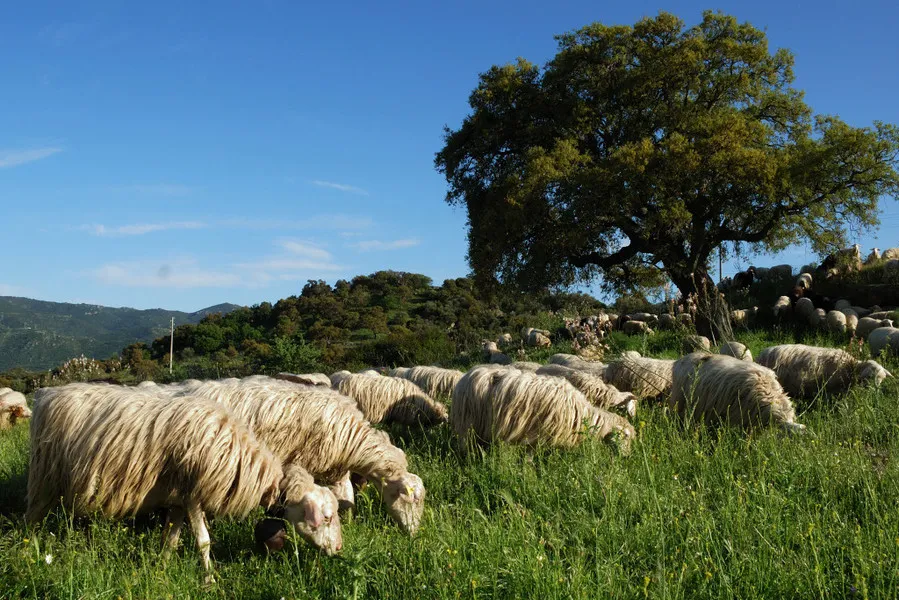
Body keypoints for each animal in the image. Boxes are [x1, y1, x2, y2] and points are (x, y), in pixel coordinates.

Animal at [27, 384, 342, 581]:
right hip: (43, 476)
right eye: (326, 517)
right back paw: (29, 552)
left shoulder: (178, 498)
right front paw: (210, 580)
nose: (339, 549)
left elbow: (172, 538)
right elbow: (203, 541)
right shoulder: (193, 496)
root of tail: (47, 394)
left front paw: (162, 567)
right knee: (32, 517)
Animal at [164, 376, 426, 534]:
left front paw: (350, 524)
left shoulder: (336, 468)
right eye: (413, 499)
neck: (351, 438)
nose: (414, 533)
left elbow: (347, 497)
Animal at [450, 365, 635, 453]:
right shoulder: (537, 435)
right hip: (468, 423)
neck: (584, 417)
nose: (626, 456)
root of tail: (467, 376)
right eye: (626, 436)